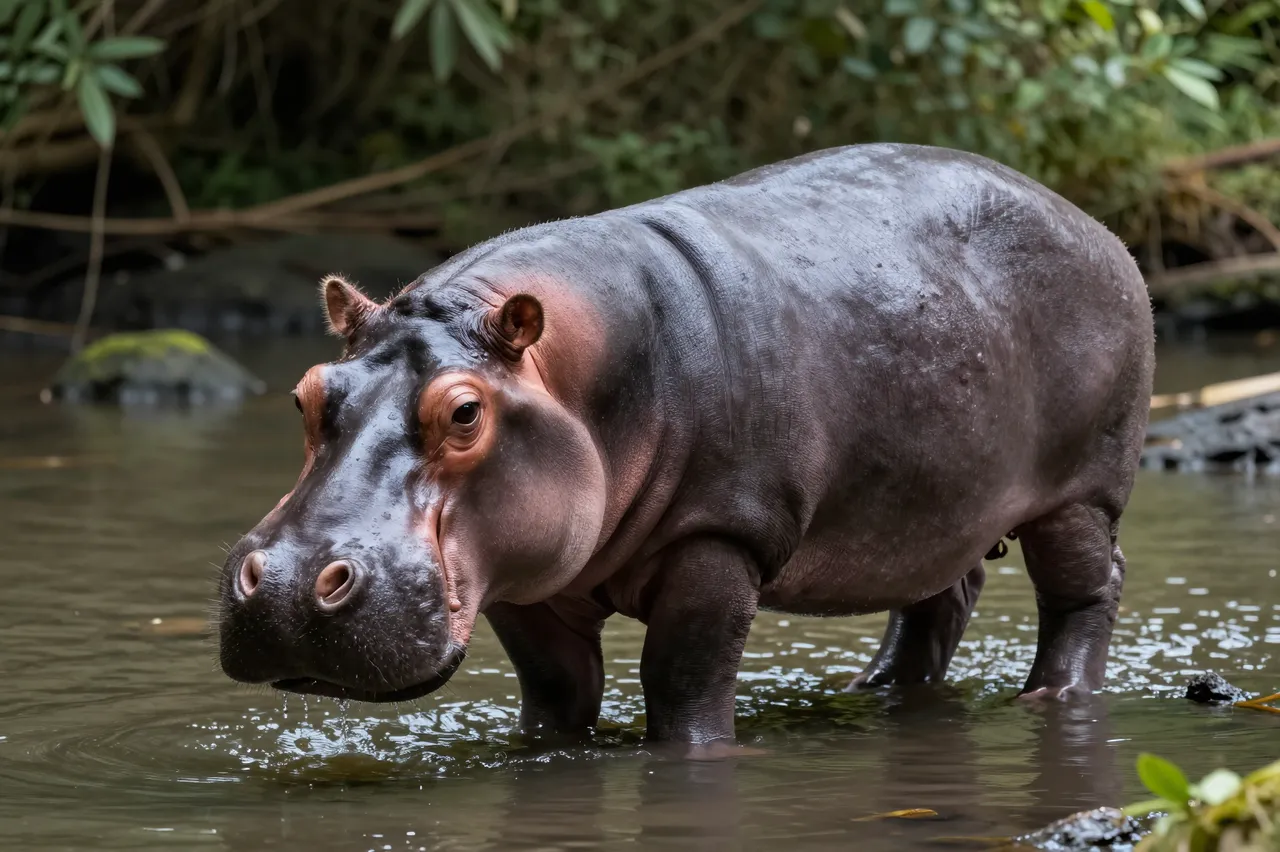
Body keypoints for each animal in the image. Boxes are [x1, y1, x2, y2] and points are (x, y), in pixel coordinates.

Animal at [217, 143, 1155, 747]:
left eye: (465, 413)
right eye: (308, 393)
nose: (291, 584)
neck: (572, 373)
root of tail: (1093, 221)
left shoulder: (720, 535)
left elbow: (682, 678)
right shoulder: (523, 569)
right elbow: (558, 692)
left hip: (1080, 491)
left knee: (1087, 587)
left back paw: (1053, 695)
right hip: (935, 501)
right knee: (941, 595)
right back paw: (878, 689)